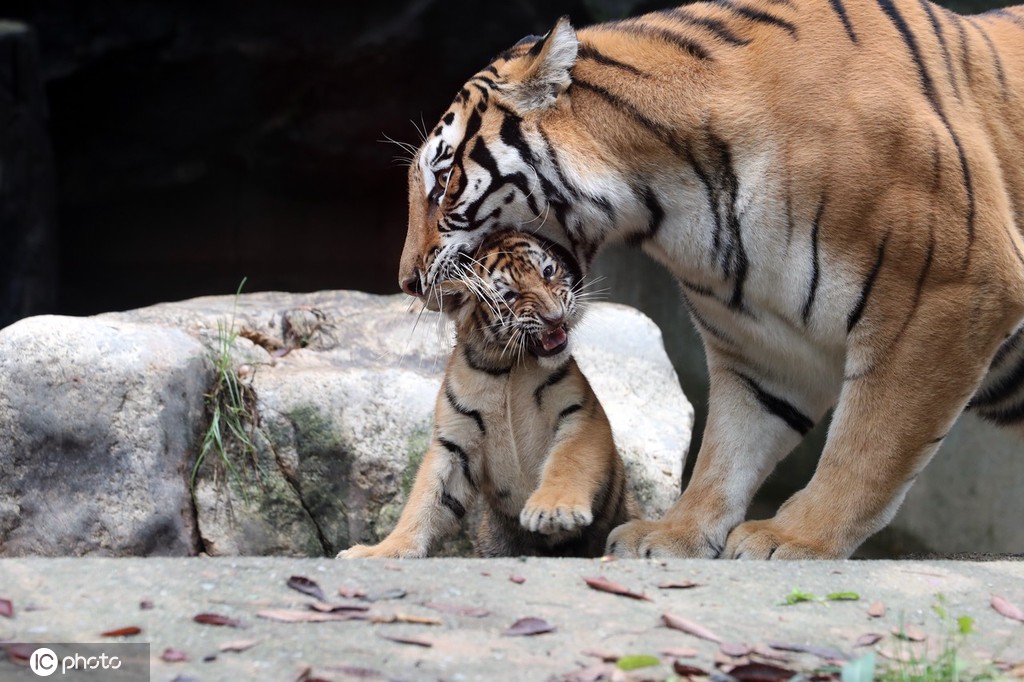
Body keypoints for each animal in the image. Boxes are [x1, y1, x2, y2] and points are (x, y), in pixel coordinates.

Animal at [395, 0, 1019, 557]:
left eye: (444, 180)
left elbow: (868, 443)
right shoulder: (761, 346)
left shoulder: (951, 290)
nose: (407, 281)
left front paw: (796, 538)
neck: (669, 199)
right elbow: (729, 446)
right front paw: (673, 533)